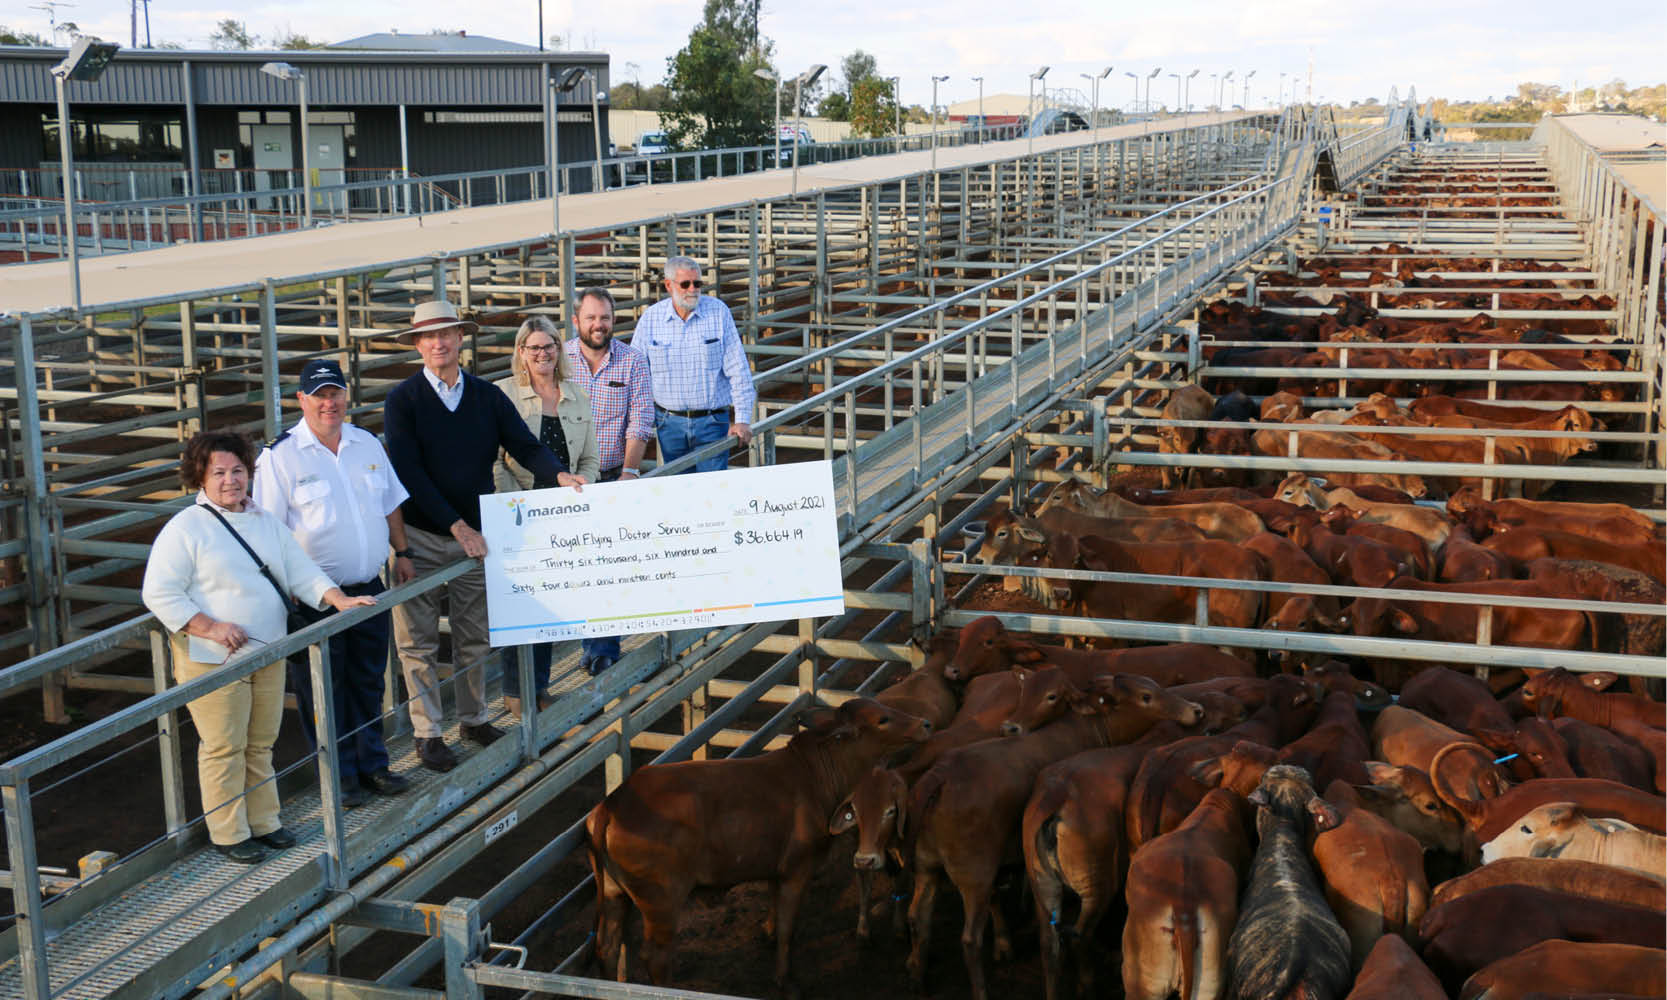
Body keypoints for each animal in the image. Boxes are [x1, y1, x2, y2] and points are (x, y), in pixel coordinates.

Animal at [586, 700, 933, 986]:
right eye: (883, 719)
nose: (925, 723)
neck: (814, 774)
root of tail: (612, 804)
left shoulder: (774, 869)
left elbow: (774, 905)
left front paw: (767, 933)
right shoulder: (797, 870)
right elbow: (788, 928)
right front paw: (784, 978)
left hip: (615, 895)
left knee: (607, 947)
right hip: (661, 904)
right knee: (655, 958)